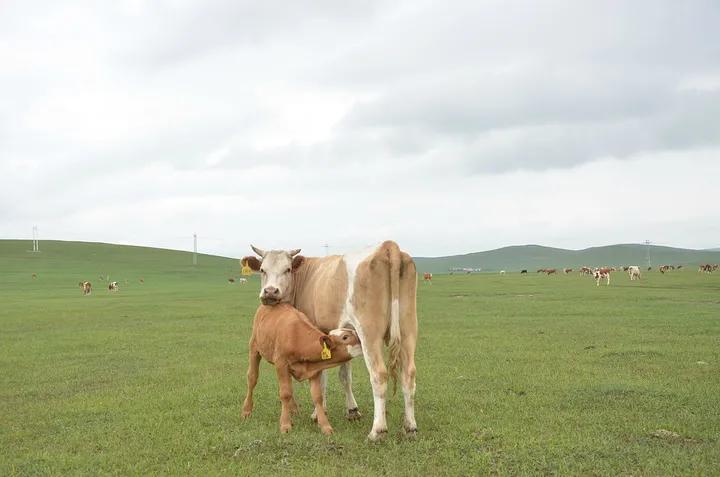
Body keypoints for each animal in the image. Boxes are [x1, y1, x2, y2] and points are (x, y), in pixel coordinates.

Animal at [242, 304, 362, 434]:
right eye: (345, 337)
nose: (362, 338)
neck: (298, 338)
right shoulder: (281, 363)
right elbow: (285, 393)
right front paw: (285, 424)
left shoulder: (314, 370)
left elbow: (317, 396)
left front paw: (325, 426)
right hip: (254, 348)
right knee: (252, 379)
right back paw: (246, 410)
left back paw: (293, 408)